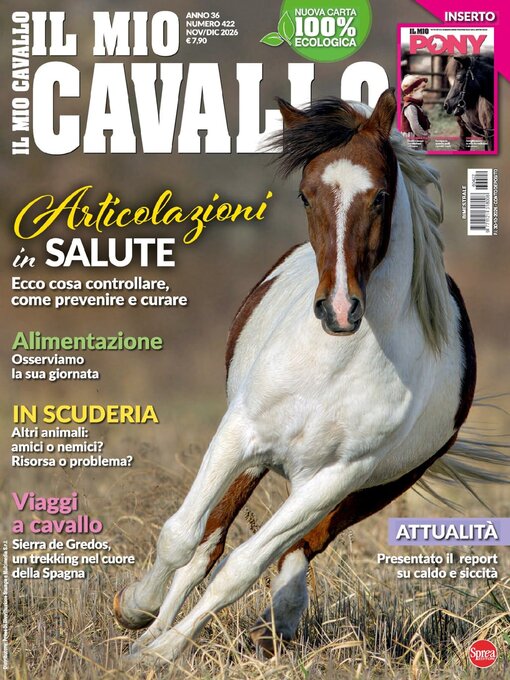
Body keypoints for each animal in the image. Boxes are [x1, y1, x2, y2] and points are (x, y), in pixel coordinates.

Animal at [113, 89, 478, 662]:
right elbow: (181, 536)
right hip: (257, 458)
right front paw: (136, 615)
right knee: (207, 544)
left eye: (380, 197)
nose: (340, 310)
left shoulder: (339, 478)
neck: (334, 363)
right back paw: (151, 625)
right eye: (306, 196)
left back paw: (277, 618)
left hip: (366, 489)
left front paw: (164, 651)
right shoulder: (239, 433)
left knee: (291, 549)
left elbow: (242, 568)